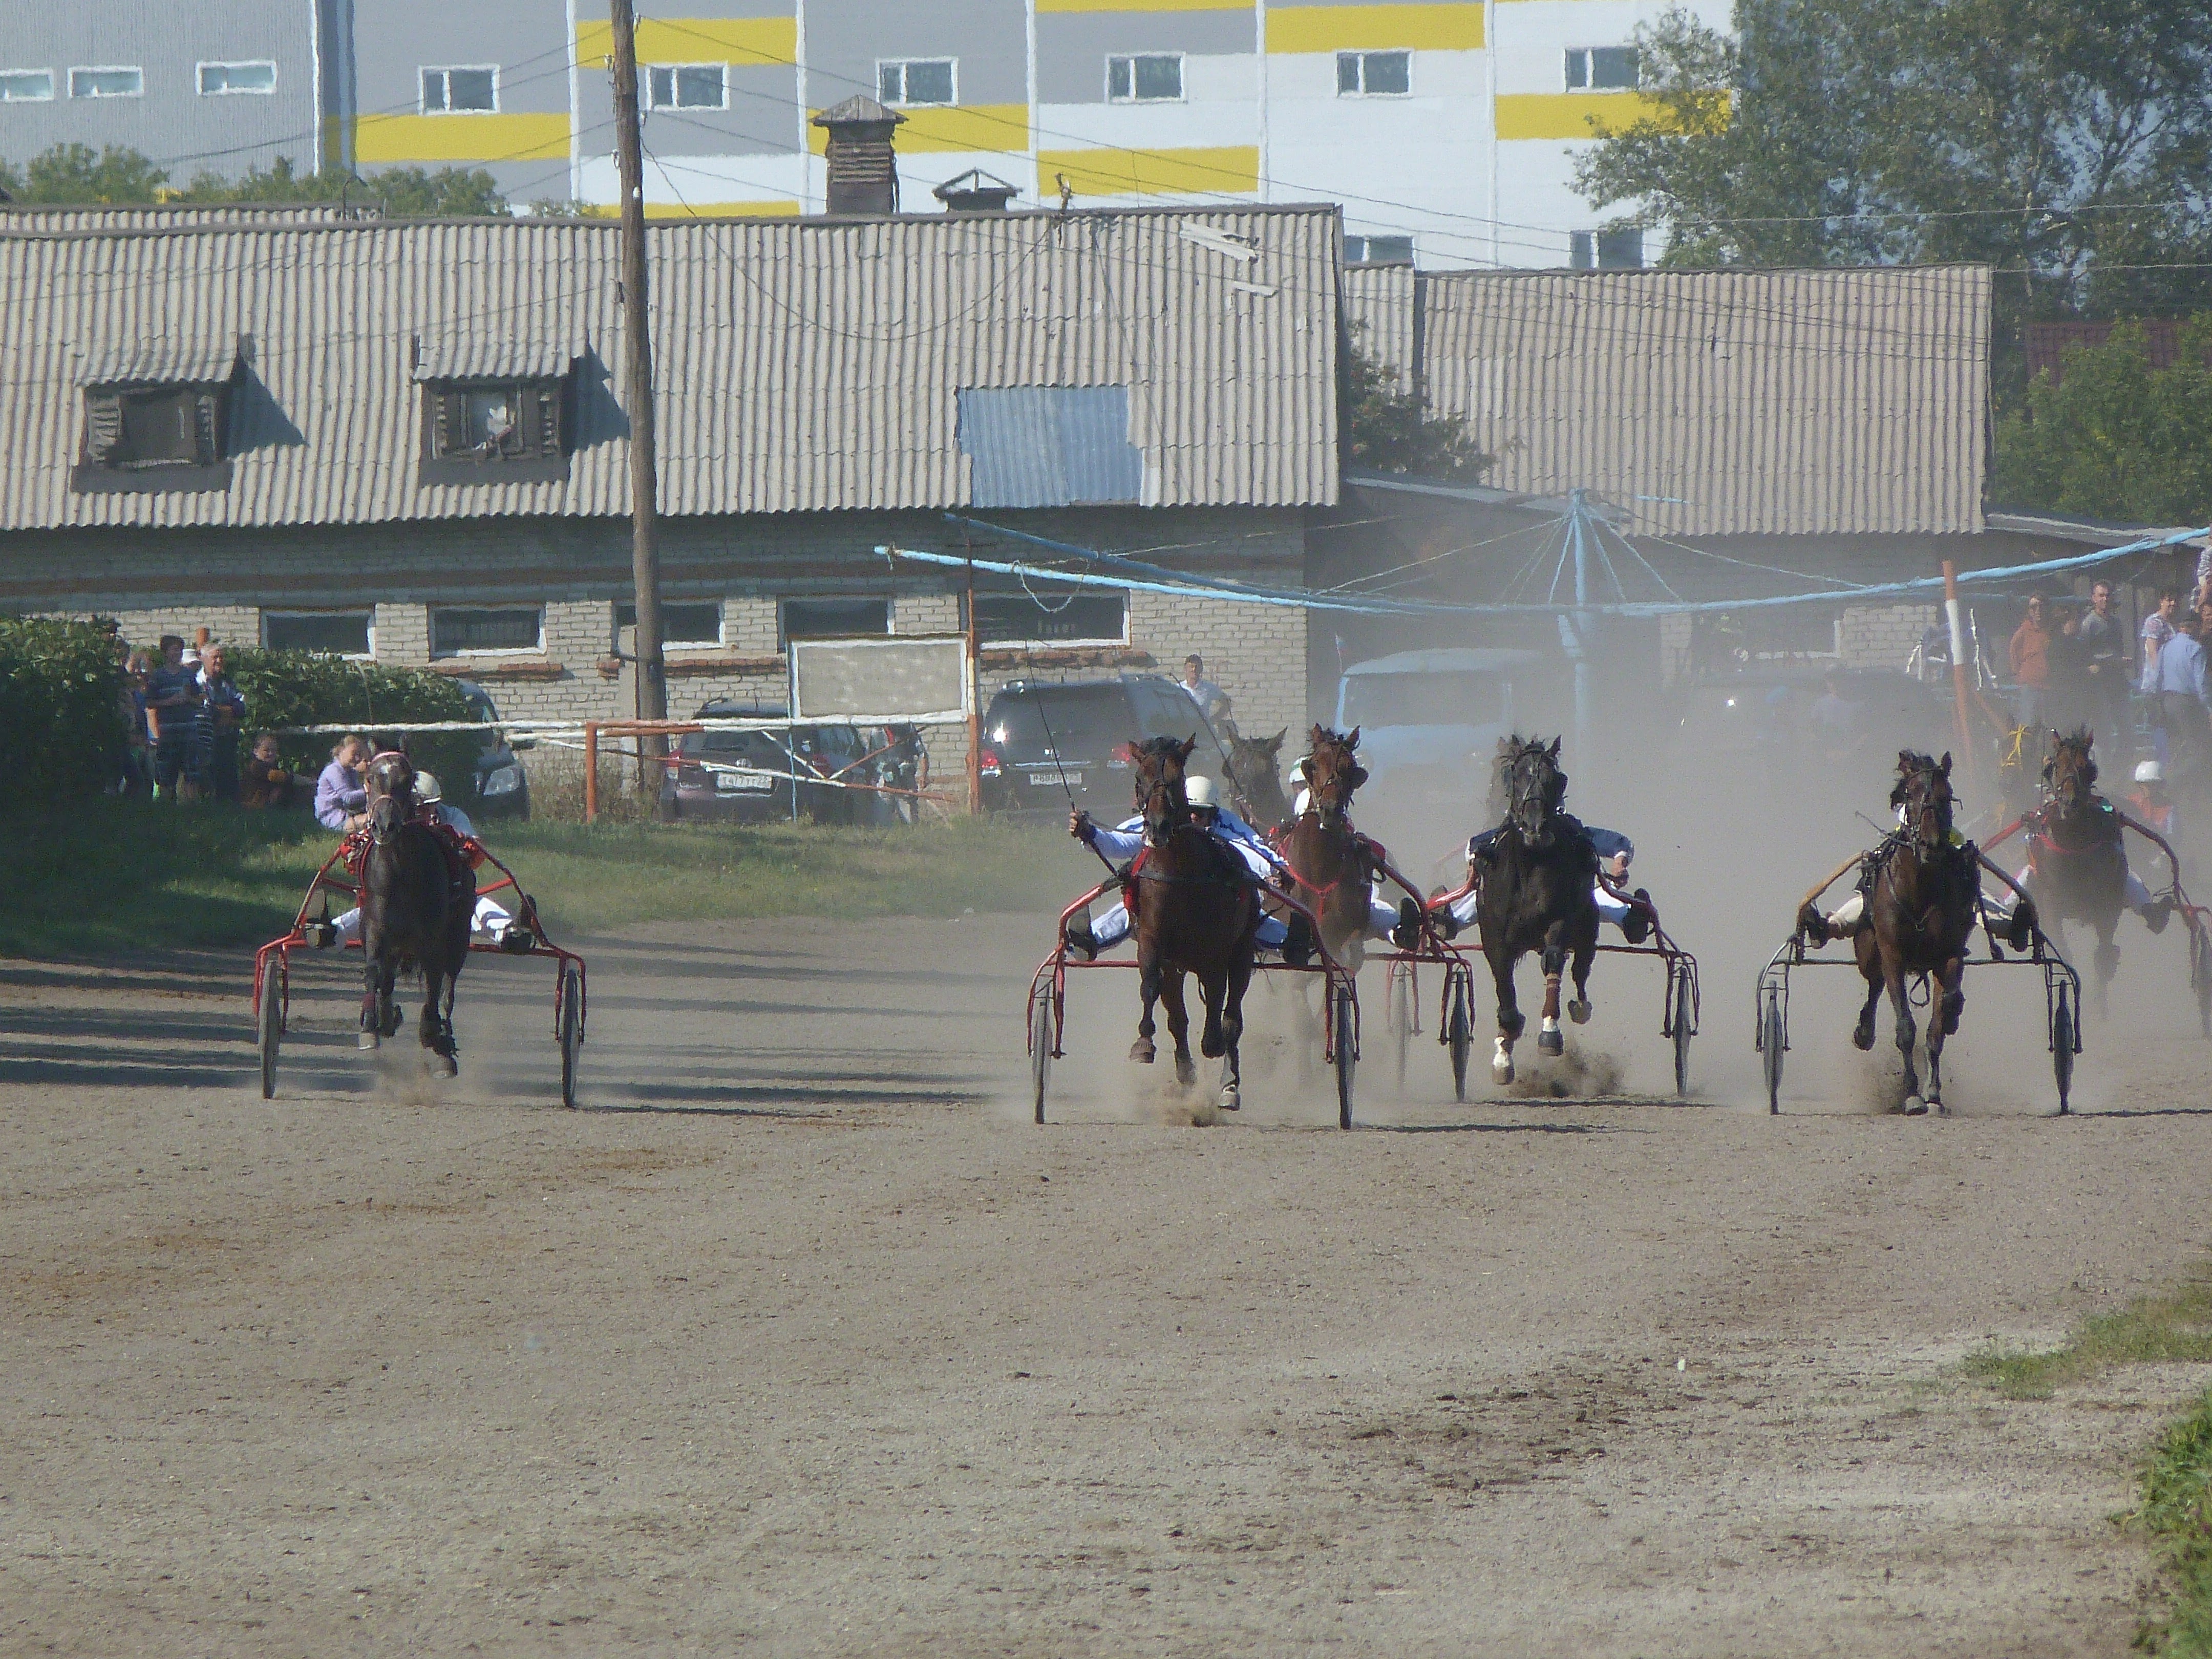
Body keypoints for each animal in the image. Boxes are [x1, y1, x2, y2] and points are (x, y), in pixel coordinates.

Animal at [358, 750, 473, 1075]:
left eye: (406, 779)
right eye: (370, 777)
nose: (384, 826)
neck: (401, 873)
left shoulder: (433, 941)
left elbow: (435, 988)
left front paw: (433, 1034)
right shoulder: (376, 929)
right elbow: (376, 972)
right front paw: (377, 1023)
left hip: (458, 937)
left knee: (448, 989)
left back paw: (444, 1039)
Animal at [1123, 735, 1262, 1110]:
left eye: (1176, 781)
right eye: (1139, 779)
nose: (1157, 828)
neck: (1180, 873)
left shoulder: (1215, 951)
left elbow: (1217, 999)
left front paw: (1213, 1043)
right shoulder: (1154, 941)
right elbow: (1150, 986)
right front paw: (1144, 1043)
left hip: (1242, 949)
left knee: (1233, 1014)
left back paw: (1229, 1082)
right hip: (1178, 965)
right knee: (1178, 1015)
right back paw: (1186, 1071)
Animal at [1475, 736, 1600, 1084]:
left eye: (1555, 778)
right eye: (1515, 776)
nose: (1534, 828)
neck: (1530, 862)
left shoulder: (1560, 919)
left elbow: (1554, 959)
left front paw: (1550, 1033)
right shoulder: (1493, 935)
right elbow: (1504, 986)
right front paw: (1503, 1053)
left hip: (1588, 924)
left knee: (1580, 970)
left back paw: (1580, 1007)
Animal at [2020, 727, 2130, 1018]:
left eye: (2089, 768)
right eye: (2053, 767)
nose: (2070, 803)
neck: (2074, 843)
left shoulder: (2107, 902)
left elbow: (2103, 955)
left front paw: (2100, 1009)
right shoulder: (2049, 902)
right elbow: (2064, 953)